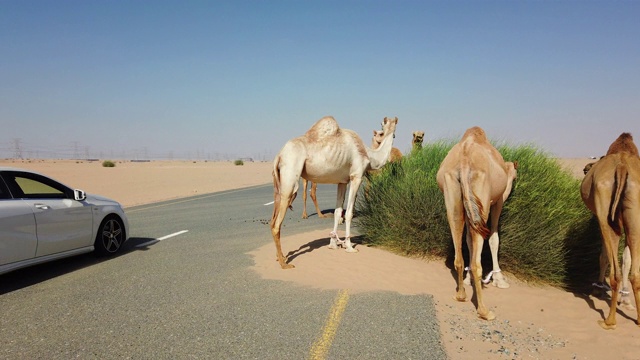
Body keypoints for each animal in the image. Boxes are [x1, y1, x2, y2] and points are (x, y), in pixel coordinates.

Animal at [272, 115, 400, 268]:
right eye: (381, 129)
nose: (391, 127)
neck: (369, 156)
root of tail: (279, 155)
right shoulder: (356, 176)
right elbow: (349, 213)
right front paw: (349, 246)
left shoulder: (342, 181)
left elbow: (338, 212)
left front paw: (333, 244)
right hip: (290, 175)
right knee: (277, 224)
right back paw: (284, 264)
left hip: (279, 183)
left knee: (273, 219)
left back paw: (281, 257)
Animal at [436, 127, 520, 320]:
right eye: (515, 176)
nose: (514, 182)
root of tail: (464, 161)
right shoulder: (497, 201)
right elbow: (494, 238)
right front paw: (500, 280)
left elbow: (468, 240)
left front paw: (468, 281)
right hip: (482, 196)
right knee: (477, 263)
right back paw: (484, 310)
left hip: (453, 195)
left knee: (459, 249)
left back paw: (460, 294)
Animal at [580, 132, 640, 330]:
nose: (585, 168)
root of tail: (622, 166)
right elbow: (626, 259)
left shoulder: (601, 217)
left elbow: (604, 255)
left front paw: (597, 288)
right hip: (634, 212)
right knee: (635, 273)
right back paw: (637, 319)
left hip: (605, 205)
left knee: (615, 272)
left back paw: (609, 321)